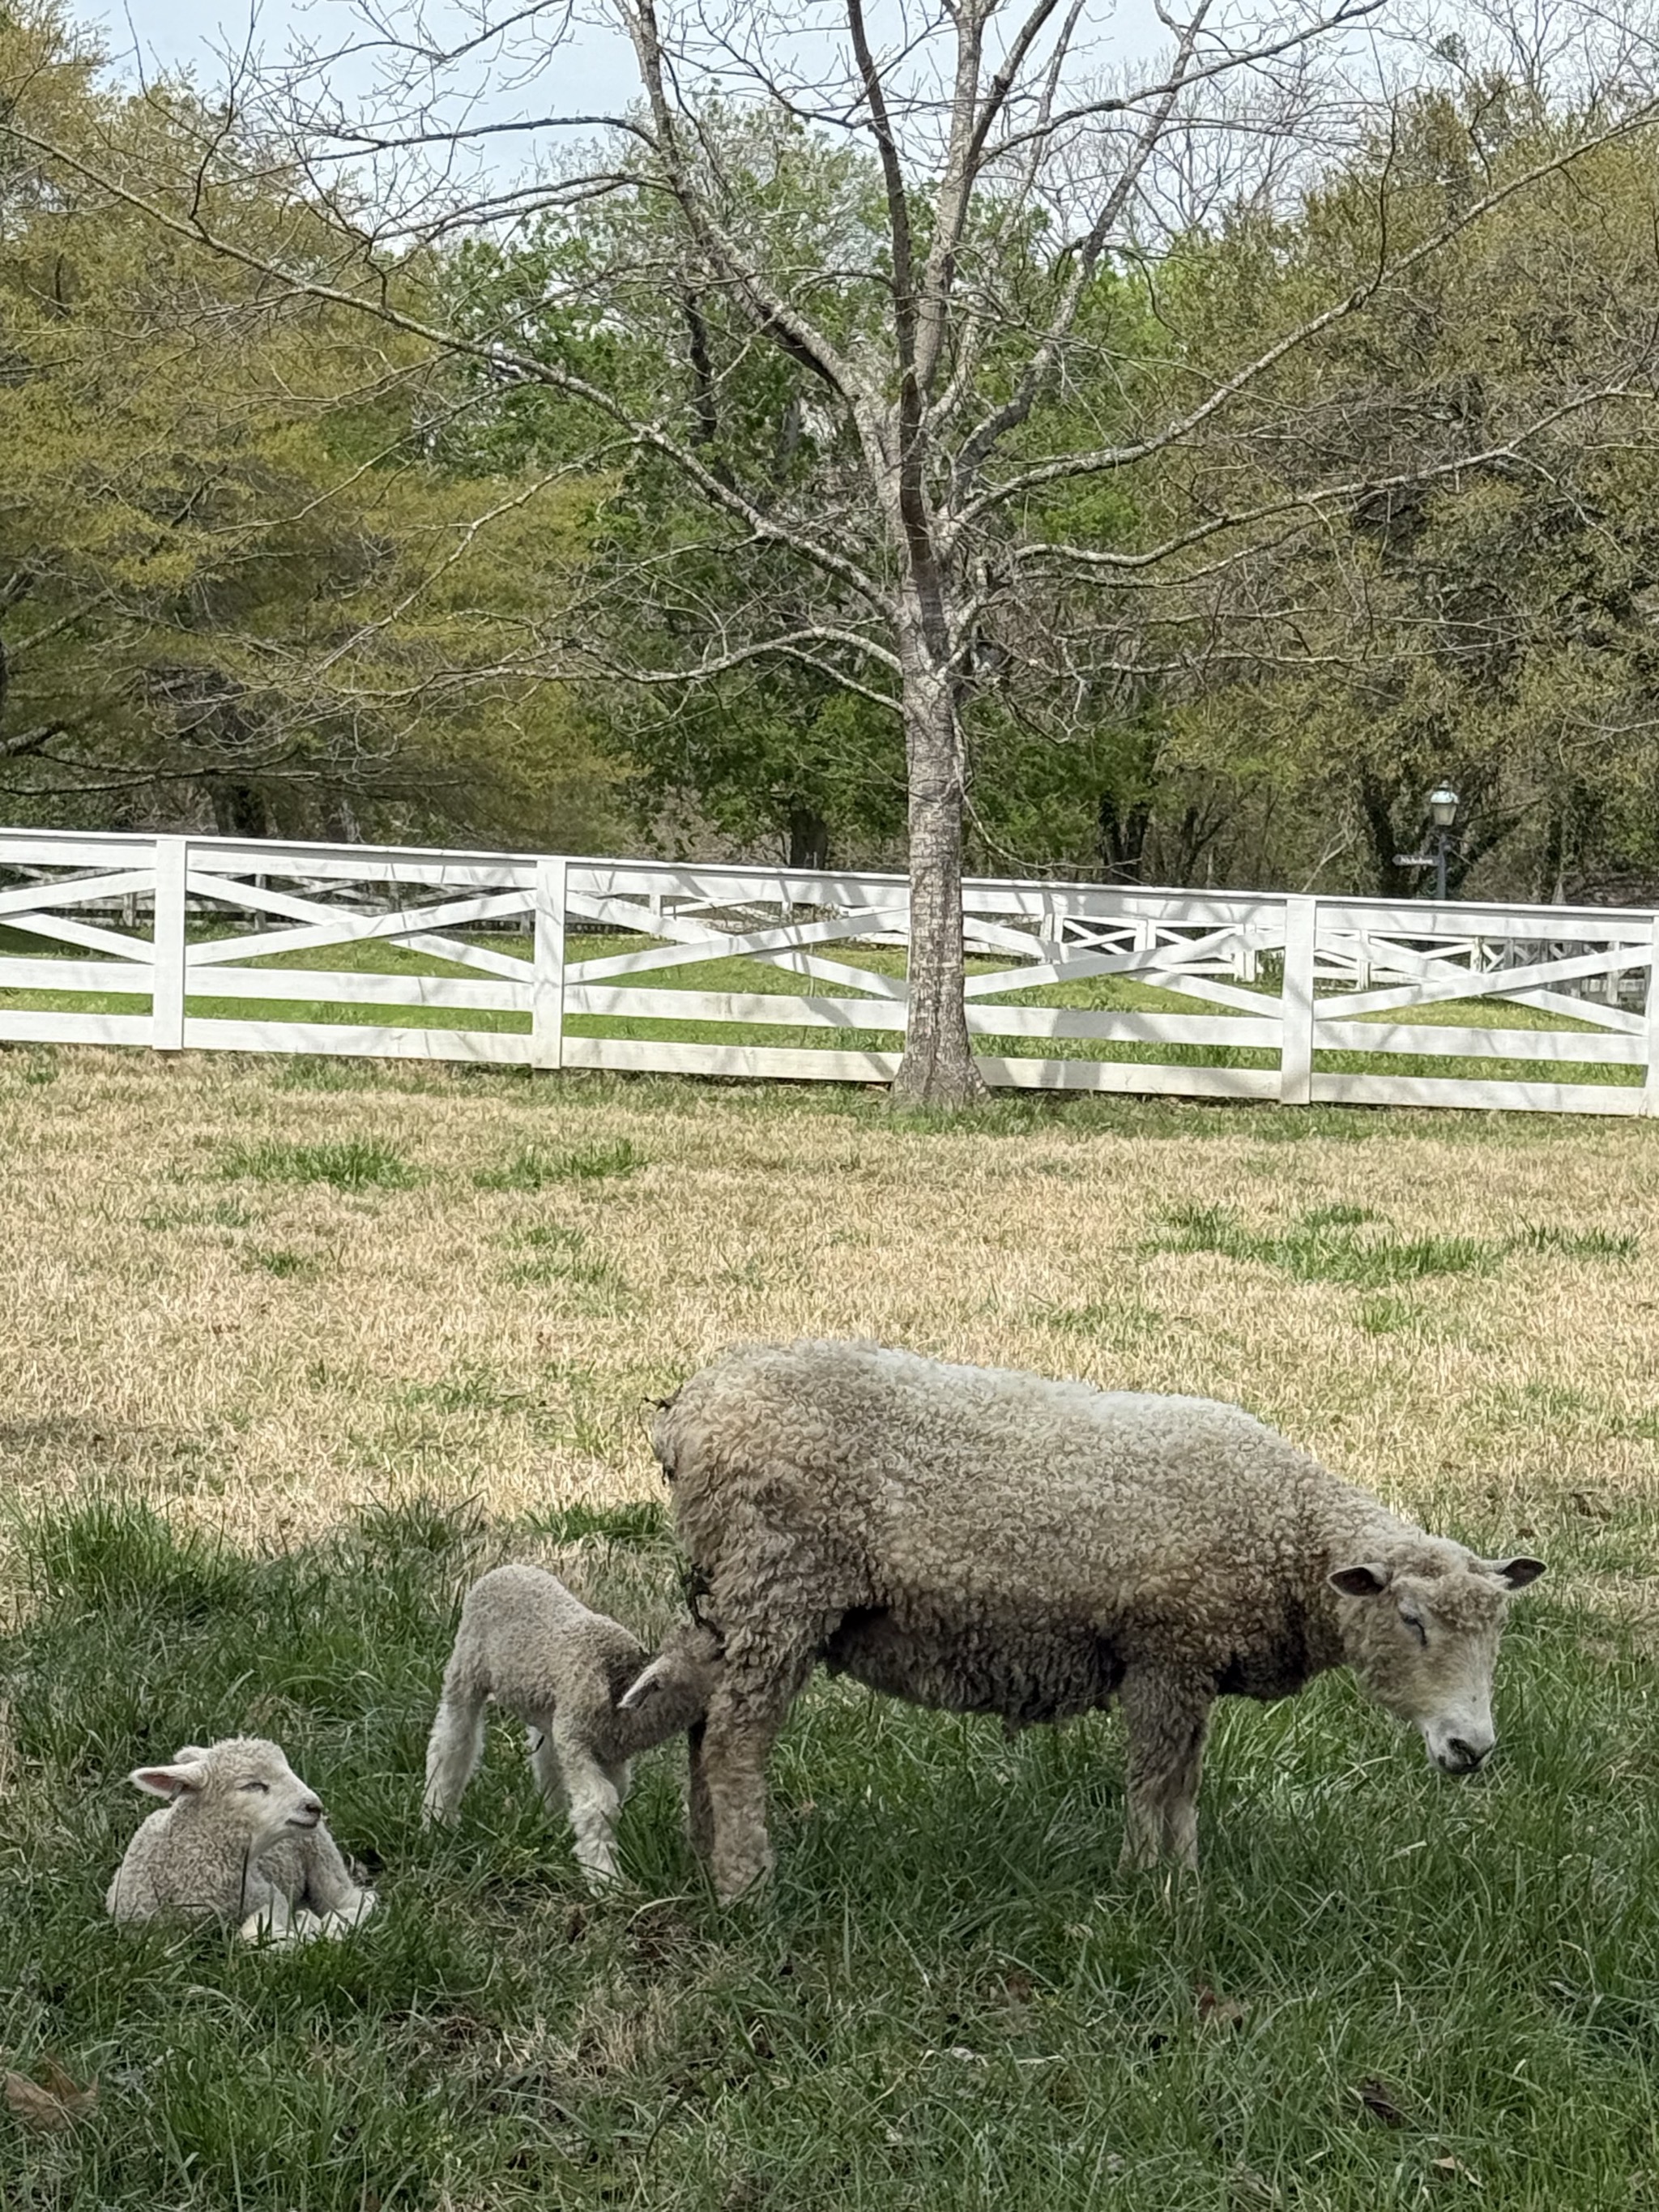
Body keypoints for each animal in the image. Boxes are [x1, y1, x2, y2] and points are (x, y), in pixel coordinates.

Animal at [421, 1564, 723, 1887]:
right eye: (714, 1655)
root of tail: (509, 1568)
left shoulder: (609, 1754)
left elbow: (614, 1794)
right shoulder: (575, 1737)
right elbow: (599, 1804)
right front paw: (606, 1879)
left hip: (545, 1708)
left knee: (545, 1759)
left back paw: (551, 1821)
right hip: (466, 1667)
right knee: (452, 1743)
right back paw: (437, 1817)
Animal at [651, 1340, 1546, 1900]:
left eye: (1497, 1633)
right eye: (1410, 1619)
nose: (1472, 1750)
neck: (1284, 1529)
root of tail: (687, 1410)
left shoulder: (1192, 1663)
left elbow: (1184, 1782)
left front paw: (1184, 1882)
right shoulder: (1164, 1652)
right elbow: (1154, 1779)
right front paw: (1144, 1885)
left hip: (735, 1593)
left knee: (702, 1722)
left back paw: (703, 1858)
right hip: (781, 1582)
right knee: (735, 1739)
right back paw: (747, 1886)